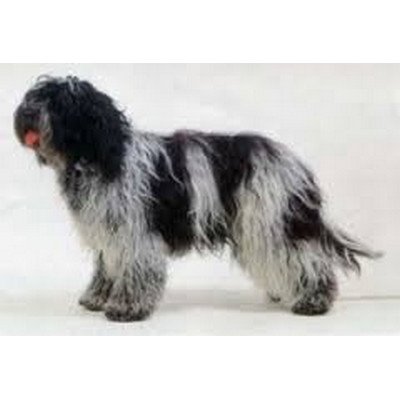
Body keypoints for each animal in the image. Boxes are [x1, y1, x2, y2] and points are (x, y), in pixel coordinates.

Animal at [14, 76, 380, 322]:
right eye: (34, 96)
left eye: (60, 103)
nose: (27, 112)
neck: (100, 154)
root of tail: (293, 161)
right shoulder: (108, 232)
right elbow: (107, 267)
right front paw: (98, 297)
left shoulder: (134, 233)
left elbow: (133, 268)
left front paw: (127, 307)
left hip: (270, 221)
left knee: (307, 259)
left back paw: (313, 300)